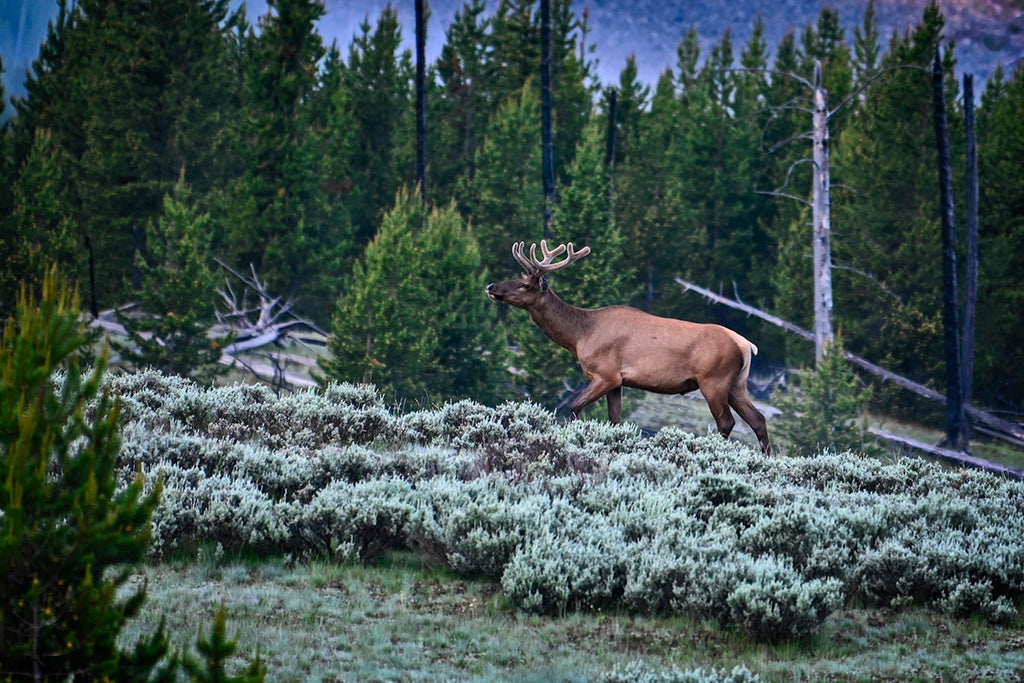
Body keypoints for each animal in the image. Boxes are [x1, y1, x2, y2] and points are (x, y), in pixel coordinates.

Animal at [486, 240, 772, 455]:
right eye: (518, 277)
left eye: (525, 285)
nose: (491, 286)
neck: (579, 336)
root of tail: (747, 345)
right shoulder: (617, 382)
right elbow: (615, 421)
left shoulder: (606, 374)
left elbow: (575, 407)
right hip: (737, 384)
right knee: (758, 420)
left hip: (714, 381)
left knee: (726, 422)